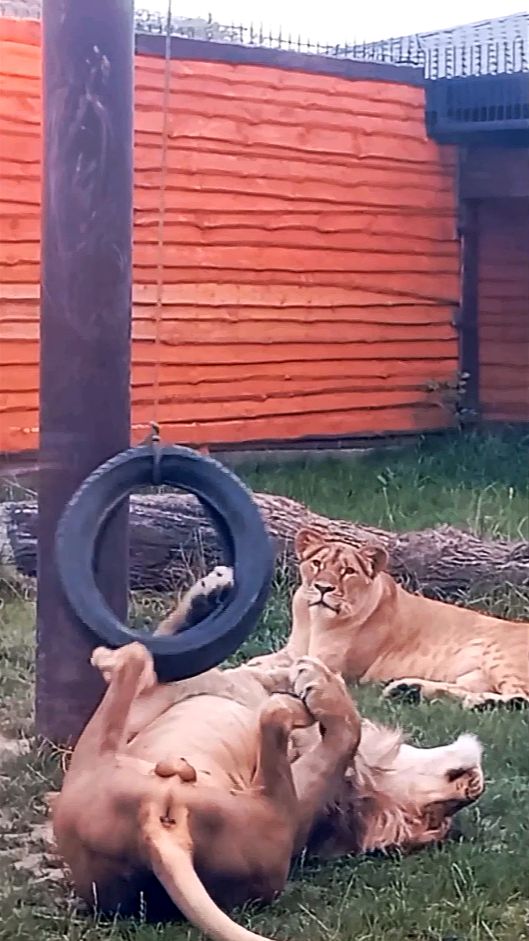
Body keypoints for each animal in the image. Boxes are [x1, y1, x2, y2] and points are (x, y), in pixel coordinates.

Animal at [50, 569, 484, 941]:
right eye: (439, 817)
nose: (470, 790)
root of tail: (157, 834)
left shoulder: (162, 700)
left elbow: (174, 667)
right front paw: (210, 593)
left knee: (142, 659)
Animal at [249, 528, 529, 710]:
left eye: (348, 571)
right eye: (317, 563)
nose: (323, 588)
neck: (313, 618)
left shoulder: (331, 666)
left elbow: (281, 672)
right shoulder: (291, 652)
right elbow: (255, 662)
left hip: (502, 658)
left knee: (521, 698)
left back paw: (482, 703)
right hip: (474, 674)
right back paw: (407, 691)